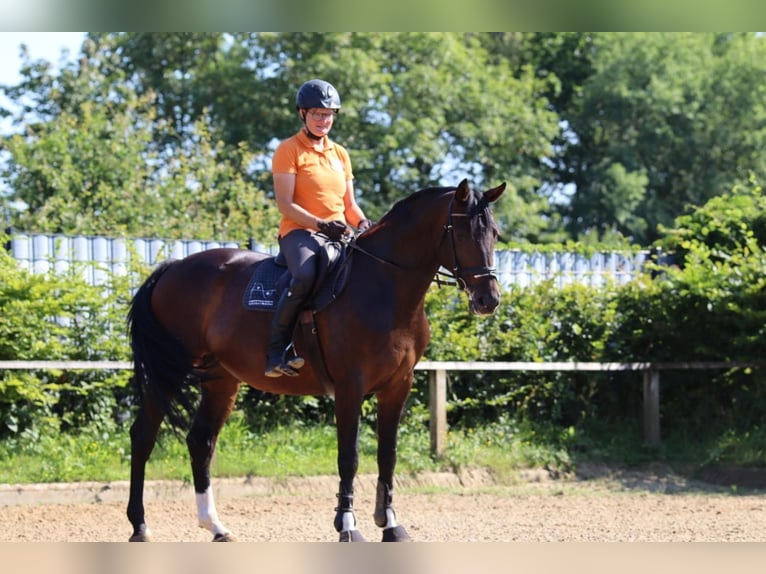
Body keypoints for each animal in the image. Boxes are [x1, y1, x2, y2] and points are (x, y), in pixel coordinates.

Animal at [129, 180, 508, 544]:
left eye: (494, 233)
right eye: (462, 233)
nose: (488, 300)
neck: (385, 287)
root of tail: (173, 268)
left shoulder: (397, 387)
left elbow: (388, 455)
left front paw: (390, 525)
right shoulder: (350, 387)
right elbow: (349, 457)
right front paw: (348, 526)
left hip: (221, 380)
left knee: (201, 441)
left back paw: (216, 527)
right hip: (169, 371)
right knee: (143, 435)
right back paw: (140, 526)